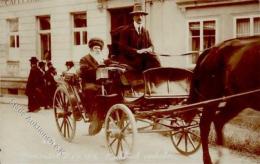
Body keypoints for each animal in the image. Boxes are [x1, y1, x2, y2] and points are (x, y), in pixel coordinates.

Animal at [188, 35, 260, 163]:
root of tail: (212, 50)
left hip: (237, 101)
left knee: (218, 120)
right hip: (212, 98)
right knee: (205, 124)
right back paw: (208, 159)